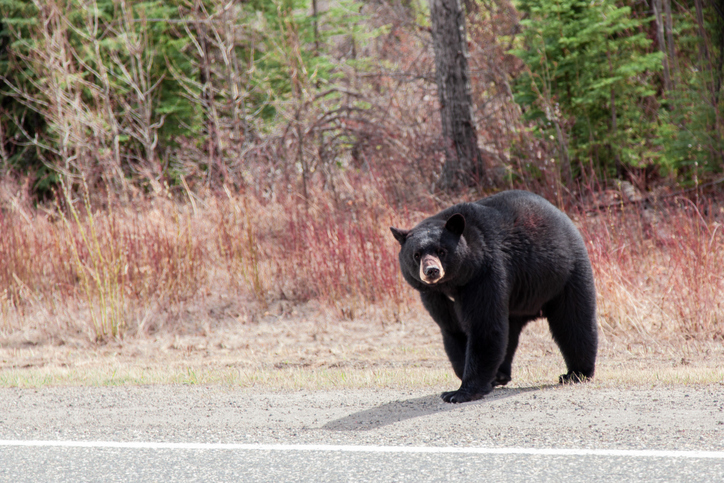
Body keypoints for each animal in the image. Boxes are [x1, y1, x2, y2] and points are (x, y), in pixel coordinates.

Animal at [390, 190, 597, 403]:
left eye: (442, 251)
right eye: (416, 254)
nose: (432, 271)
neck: (453, 283)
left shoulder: (485, 273)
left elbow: (484, 325)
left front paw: (460, 392)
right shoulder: (434, 295)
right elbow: (453, 329)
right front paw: (468, 375)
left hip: (565, 276)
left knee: (573, 321)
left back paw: (576, 373)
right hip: (518, 300)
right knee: (510, 331)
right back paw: (501, 375)